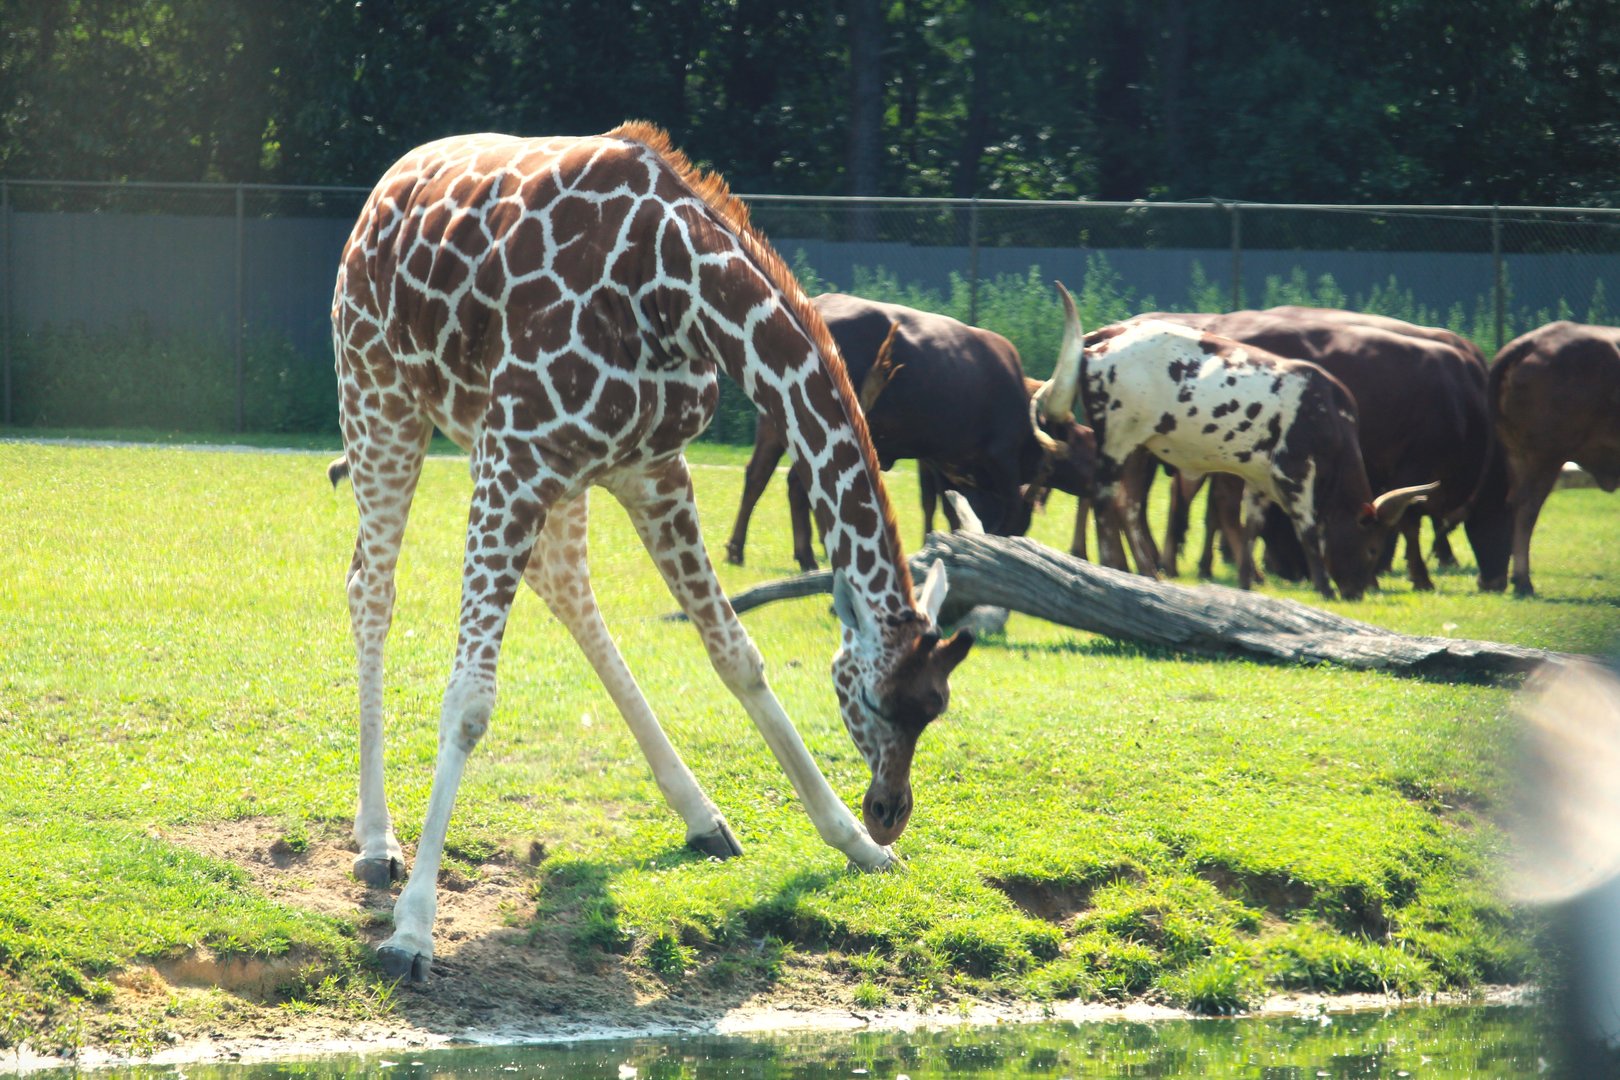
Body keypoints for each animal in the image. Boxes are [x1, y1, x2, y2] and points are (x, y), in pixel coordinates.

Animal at [330, 123, 975, 981]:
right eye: (871, 701)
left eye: (935, 707)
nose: (889, 810)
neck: (672, 290)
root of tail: (386, 186)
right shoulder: (517, 453)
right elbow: (469, 700)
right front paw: (411, 932)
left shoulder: (649, 468)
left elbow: (737, 654)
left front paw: (855, 846)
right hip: (382, 399)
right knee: (371, 587)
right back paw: (377, 842)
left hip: (547, 470)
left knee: (566, 588)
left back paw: (702, 815)